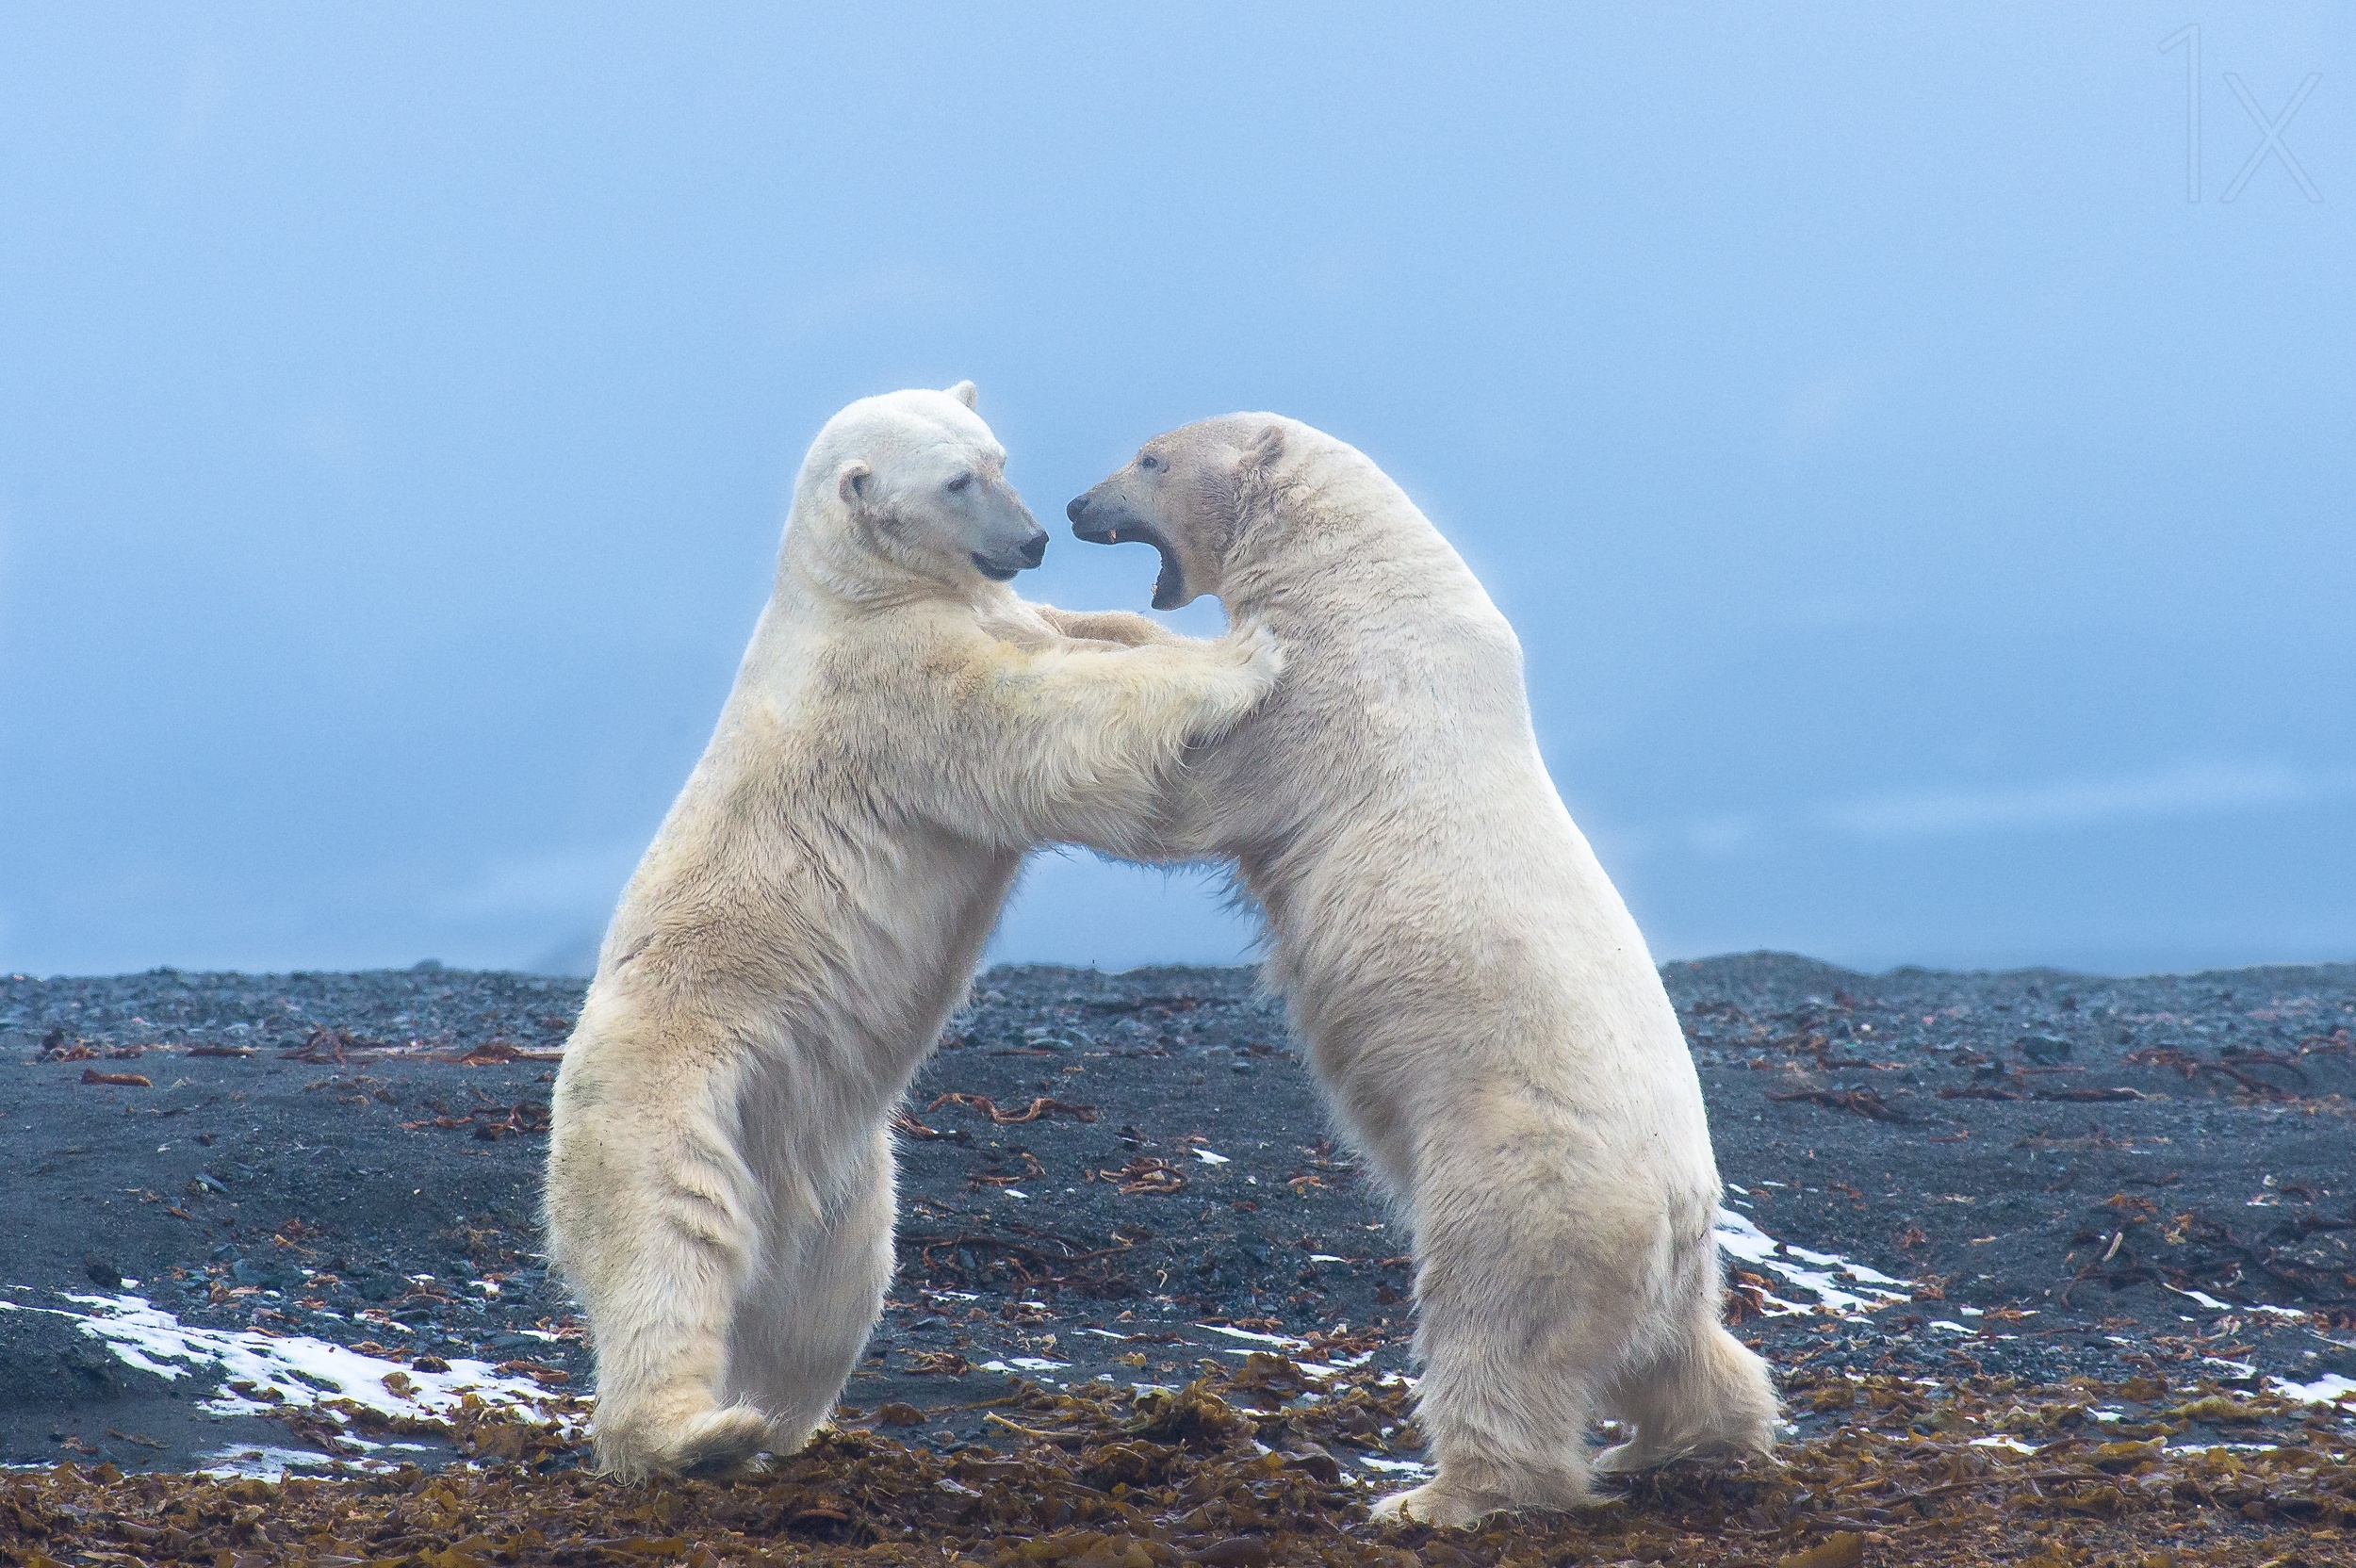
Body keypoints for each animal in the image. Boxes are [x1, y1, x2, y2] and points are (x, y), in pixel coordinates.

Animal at [542, 384, 1282, 1469]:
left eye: (997, 454)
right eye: (956, 480)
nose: (1033, 538)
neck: (854, 590)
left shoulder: (990, 613)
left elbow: (1079, 631)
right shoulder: (894, 687)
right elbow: (1042, 717)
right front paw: (1248, 652)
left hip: (834, 1154)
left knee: (829, 1294)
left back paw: (785, 1418)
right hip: (668, 1093)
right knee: (669, 1241)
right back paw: (692, 1433)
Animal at [1070, 412, 1772, 1516]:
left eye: (1149, 458)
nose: (1072, 506)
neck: (1357, 576)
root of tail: (1678, 1209)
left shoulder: (1323, 698)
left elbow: (1194, 788)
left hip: (1524, 1184)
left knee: (1494, 1326)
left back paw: (1442, 1495)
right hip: (1665, 1259)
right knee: (1679, 1350)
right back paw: (1684, 1441)